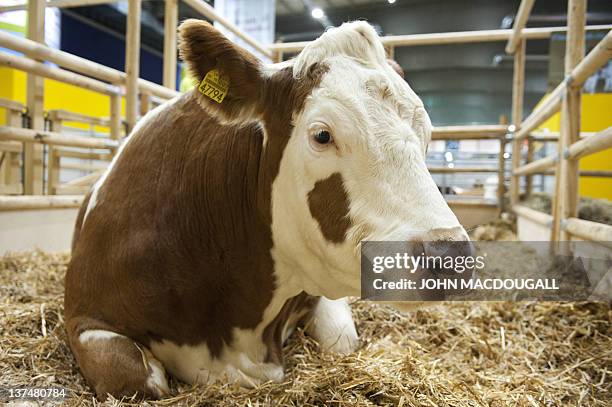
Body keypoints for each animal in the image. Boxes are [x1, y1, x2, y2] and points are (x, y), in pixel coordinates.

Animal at [63, 19, 468, 402]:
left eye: (426, 134)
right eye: (322, 135)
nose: (449, 254)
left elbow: (341, 339)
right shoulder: (85, 315)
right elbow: (136, 376)